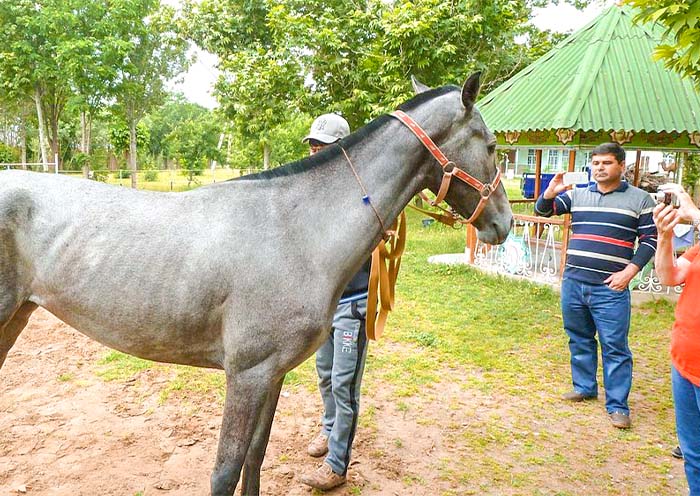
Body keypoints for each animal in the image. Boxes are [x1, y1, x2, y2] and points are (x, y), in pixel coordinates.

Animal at [0, 73, 512, 495]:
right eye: (490, 146)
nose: (504, 224)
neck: (297, 231)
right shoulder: (246, 375)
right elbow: (226, 471)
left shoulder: (272, 374)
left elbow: (255, 460)